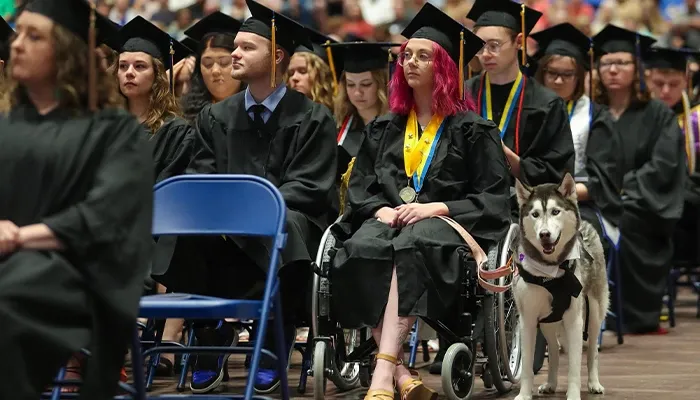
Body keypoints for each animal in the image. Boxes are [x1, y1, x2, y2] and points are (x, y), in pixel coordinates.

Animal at [512, 174, 608, 400]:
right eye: (535, 214)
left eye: (555, 211)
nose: (544, 234)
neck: (551, 273)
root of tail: (587, 225)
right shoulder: (528, 320)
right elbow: (527, 365)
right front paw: (524, 394)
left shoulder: (575, 320)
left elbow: (574, 366)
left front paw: (573, 394)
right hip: (548, 320)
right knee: (554, 350)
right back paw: (551, 383)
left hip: (594, 312)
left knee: (592, 351)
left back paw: (594, 383)